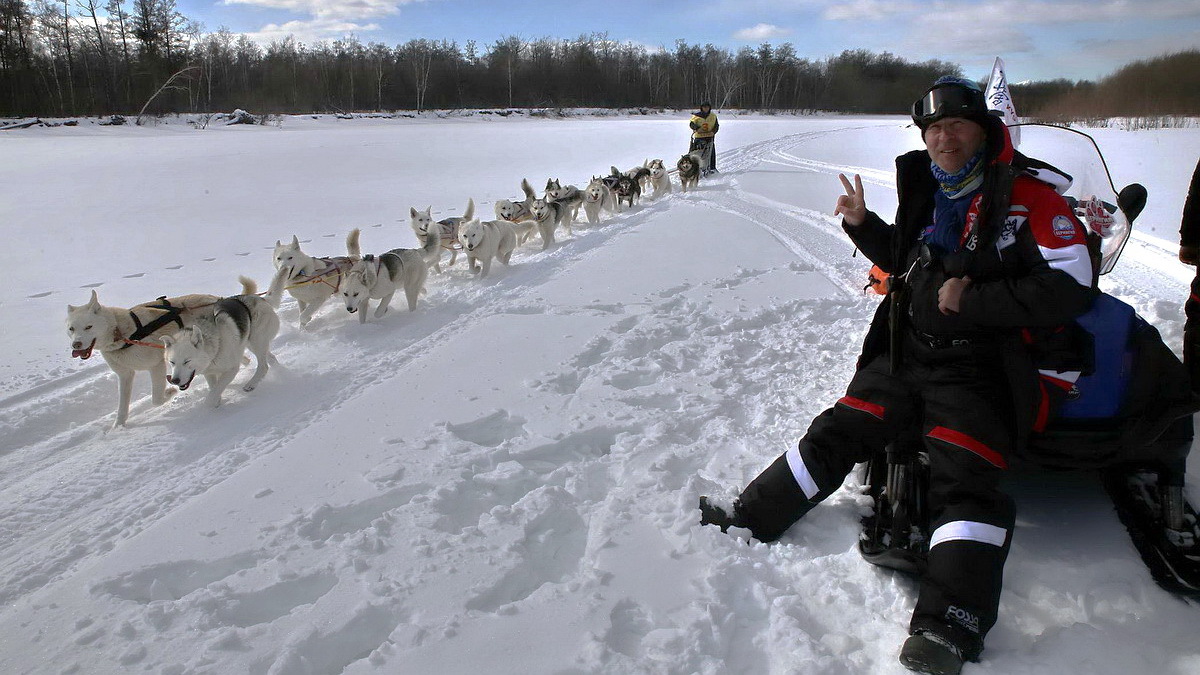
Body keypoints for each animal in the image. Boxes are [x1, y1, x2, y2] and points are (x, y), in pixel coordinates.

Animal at [67, 288, 220, 425]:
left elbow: (156, 399)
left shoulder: (156, 365)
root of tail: (216, 298)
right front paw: (117, 427)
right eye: (71, 329)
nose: (76, 345)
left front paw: (170, 392)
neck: (121, 335)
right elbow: (122, 407)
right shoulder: (125, 375)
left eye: (88, 327)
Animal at [162, 276, 280, 408]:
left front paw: (212, 402)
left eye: (187, 361)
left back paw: (251, 384)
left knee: (263, 366)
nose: (174, 380)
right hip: (252, 343)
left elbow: (215, 392)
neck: (216, 345)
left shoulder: (232, 369)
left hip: (256, 341)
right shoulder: (209, 372)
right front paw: (217, 400)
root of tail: (260, 298)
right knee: (270, 358)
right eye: (172, 362)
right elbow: (214, 387)